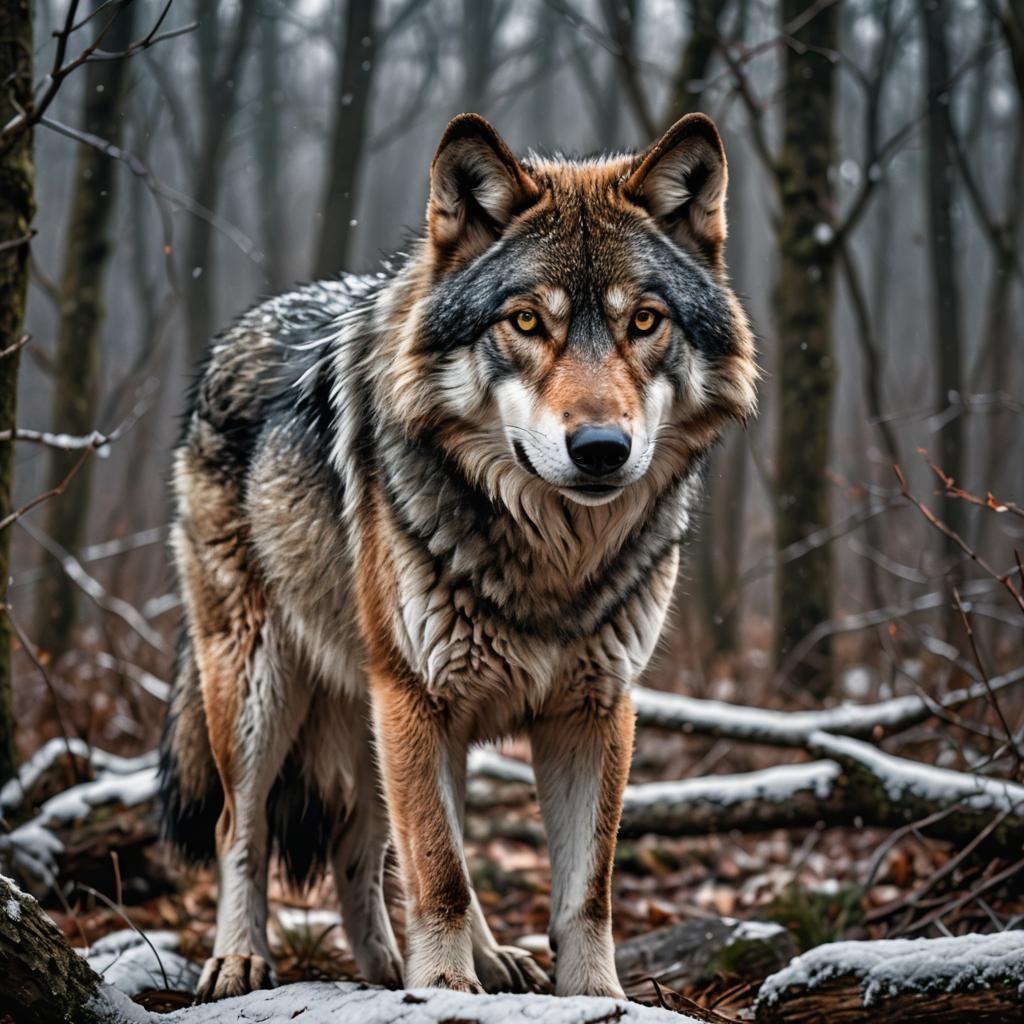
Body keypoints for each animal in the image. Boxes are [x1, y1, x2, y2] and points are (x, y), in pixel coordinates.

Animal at [159, 111, 757, 1002]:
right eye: (527, 322)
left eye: (644, 322)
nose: (602, 449)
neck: (552, 560)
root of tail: (232, 335)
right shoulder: (415, 694)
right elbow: (438, 870)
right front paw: (442, 987)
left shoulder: (594, 707)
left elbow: (586, 890)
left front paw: (594, 999)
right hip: (265, 683)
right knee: (247, 824)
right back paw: (242, 959)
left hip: (394, 715)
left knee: (364, 848)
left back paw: (408, 967)